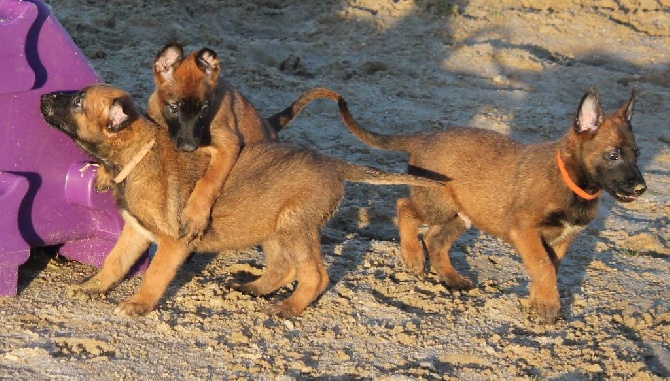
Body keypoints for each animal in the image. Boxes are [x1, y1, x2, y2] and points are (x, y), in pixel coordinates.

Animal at [39, 84, 444, 318]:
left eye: (78, 101)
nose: (42, 96)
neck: (140, 153)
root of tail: (330, 162)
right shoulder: (136, 232)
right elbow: (114, 262)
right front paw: (92, 287)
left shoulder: (172, 242)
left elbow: (154, 275)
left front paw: (139, 304)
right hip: (273, 228)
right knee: (284, 268)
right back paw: (253, 288)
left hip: (293, 226)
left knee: (315, 275)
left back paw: (289, 307)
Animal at [338, 87, 648, 324]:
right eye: (613, 155)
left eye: (637, 154)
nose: (641, 188)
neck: (570, 180)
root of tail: (425, 137)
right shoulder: (524, 229)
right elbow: (543, 267)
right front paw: (548, 307)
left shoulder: (561, 240)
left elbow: (548, 269)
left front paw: (539, 303)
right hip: (436, 203)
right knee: (405, 207)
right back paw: (413, 257)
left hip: (463, 213)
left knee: (435, 239)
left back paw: (452, 278)